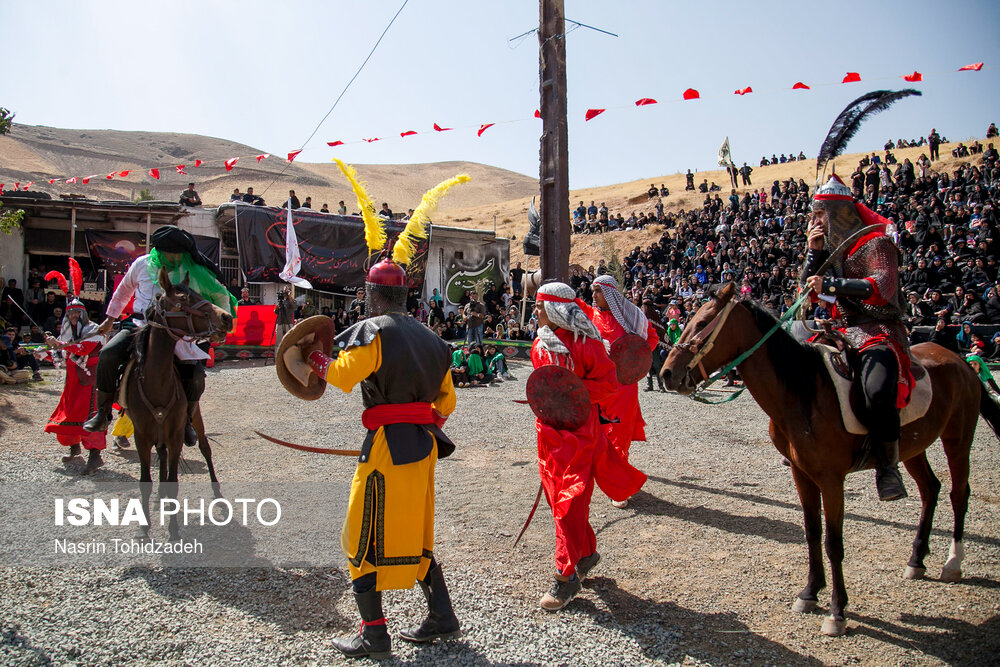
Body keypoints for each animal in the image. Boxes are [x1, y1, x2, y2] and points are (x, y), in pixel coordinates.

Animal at [125, 268, 232, 540]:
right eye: (183, 299)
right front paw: (144, 527)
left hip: (196, 420)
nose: (226, 318)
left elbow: (174, 482)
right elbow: (145, 481)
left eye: (199, 293)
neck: (157, 382)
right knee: (161, 455)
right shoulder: (141, 436)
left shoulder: (175, 435)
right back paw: (159, 499)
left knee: (205, 449)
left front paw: (173, 530)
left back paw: (217, 492)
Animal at [660, 282, 996, 636]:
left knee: (958, 493)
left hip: (958, 438)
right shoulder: (801, 473)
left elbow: (834, 542)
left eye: (701, 322)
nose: (667, 373)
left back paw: (953, 562)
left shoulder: (832, 479)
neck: (802, 392)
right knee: (930, 490)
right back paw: (916, 559)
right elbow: (812, 532)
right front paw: (810, 592)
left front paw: (837, 611)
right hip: (914, 448)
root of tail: (961, 362)